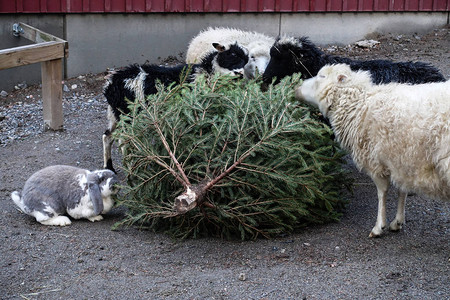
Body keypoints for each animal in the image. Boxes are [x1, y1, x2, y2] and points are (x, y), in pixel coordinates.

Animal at [103, 42, 250, 173]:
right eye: (231, 55)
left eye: (246, 59)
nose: (241, 74)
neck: (207, 74)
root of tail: (111, 85)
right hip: (130, 116)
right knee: (125, 142)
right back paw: (133, 170)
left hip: (115, 115)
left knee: (108, 136)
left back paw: (109, 168)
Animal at [296, 64, 450, 238]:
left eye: (321, 76)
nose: (296, 88)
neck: (359, 105)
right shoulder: (401, 158)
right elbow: (401, 190)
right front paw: (397, 222)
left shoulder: (375, 160)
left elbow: (382, 193)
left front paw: (379, 226)